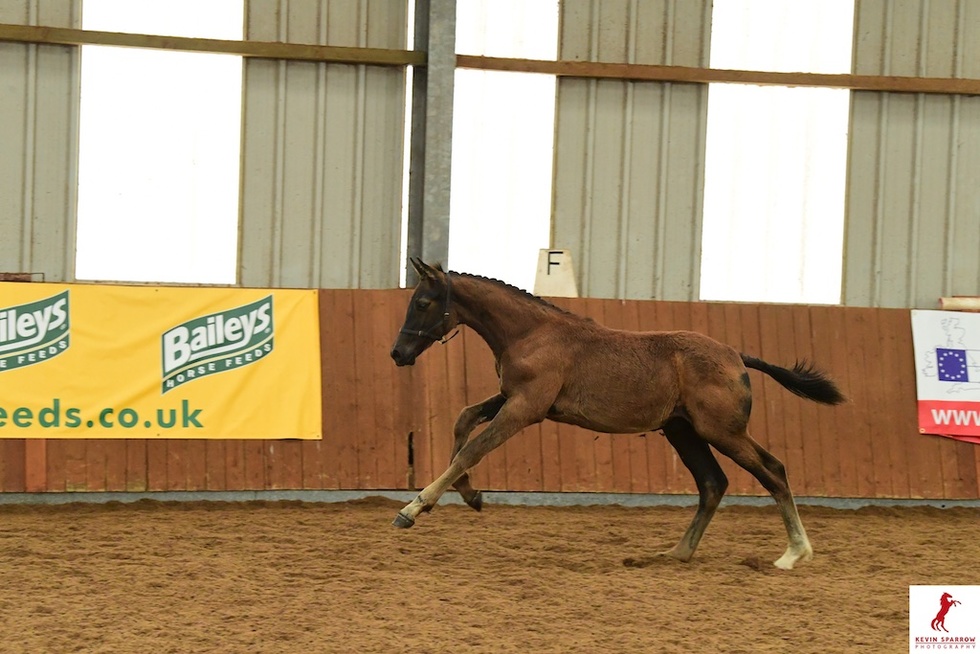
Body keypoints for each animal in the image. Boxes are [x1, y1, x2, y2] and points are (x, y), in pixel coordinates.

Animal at [390, 259, 846, 570]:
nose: (398, 353)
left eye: (423, 302)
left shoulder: (526, 408)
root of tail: (737, 357)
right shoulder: (513, 398)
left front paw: (413, 509)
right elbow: (464, 420)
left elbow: (474, 448)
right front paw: (471, 496)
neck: (532, 333)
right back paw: (676, 553)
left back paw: (794, 553)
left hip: (722, 431)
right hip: (683, 431)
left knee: (773, 470)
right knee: (713, 483)